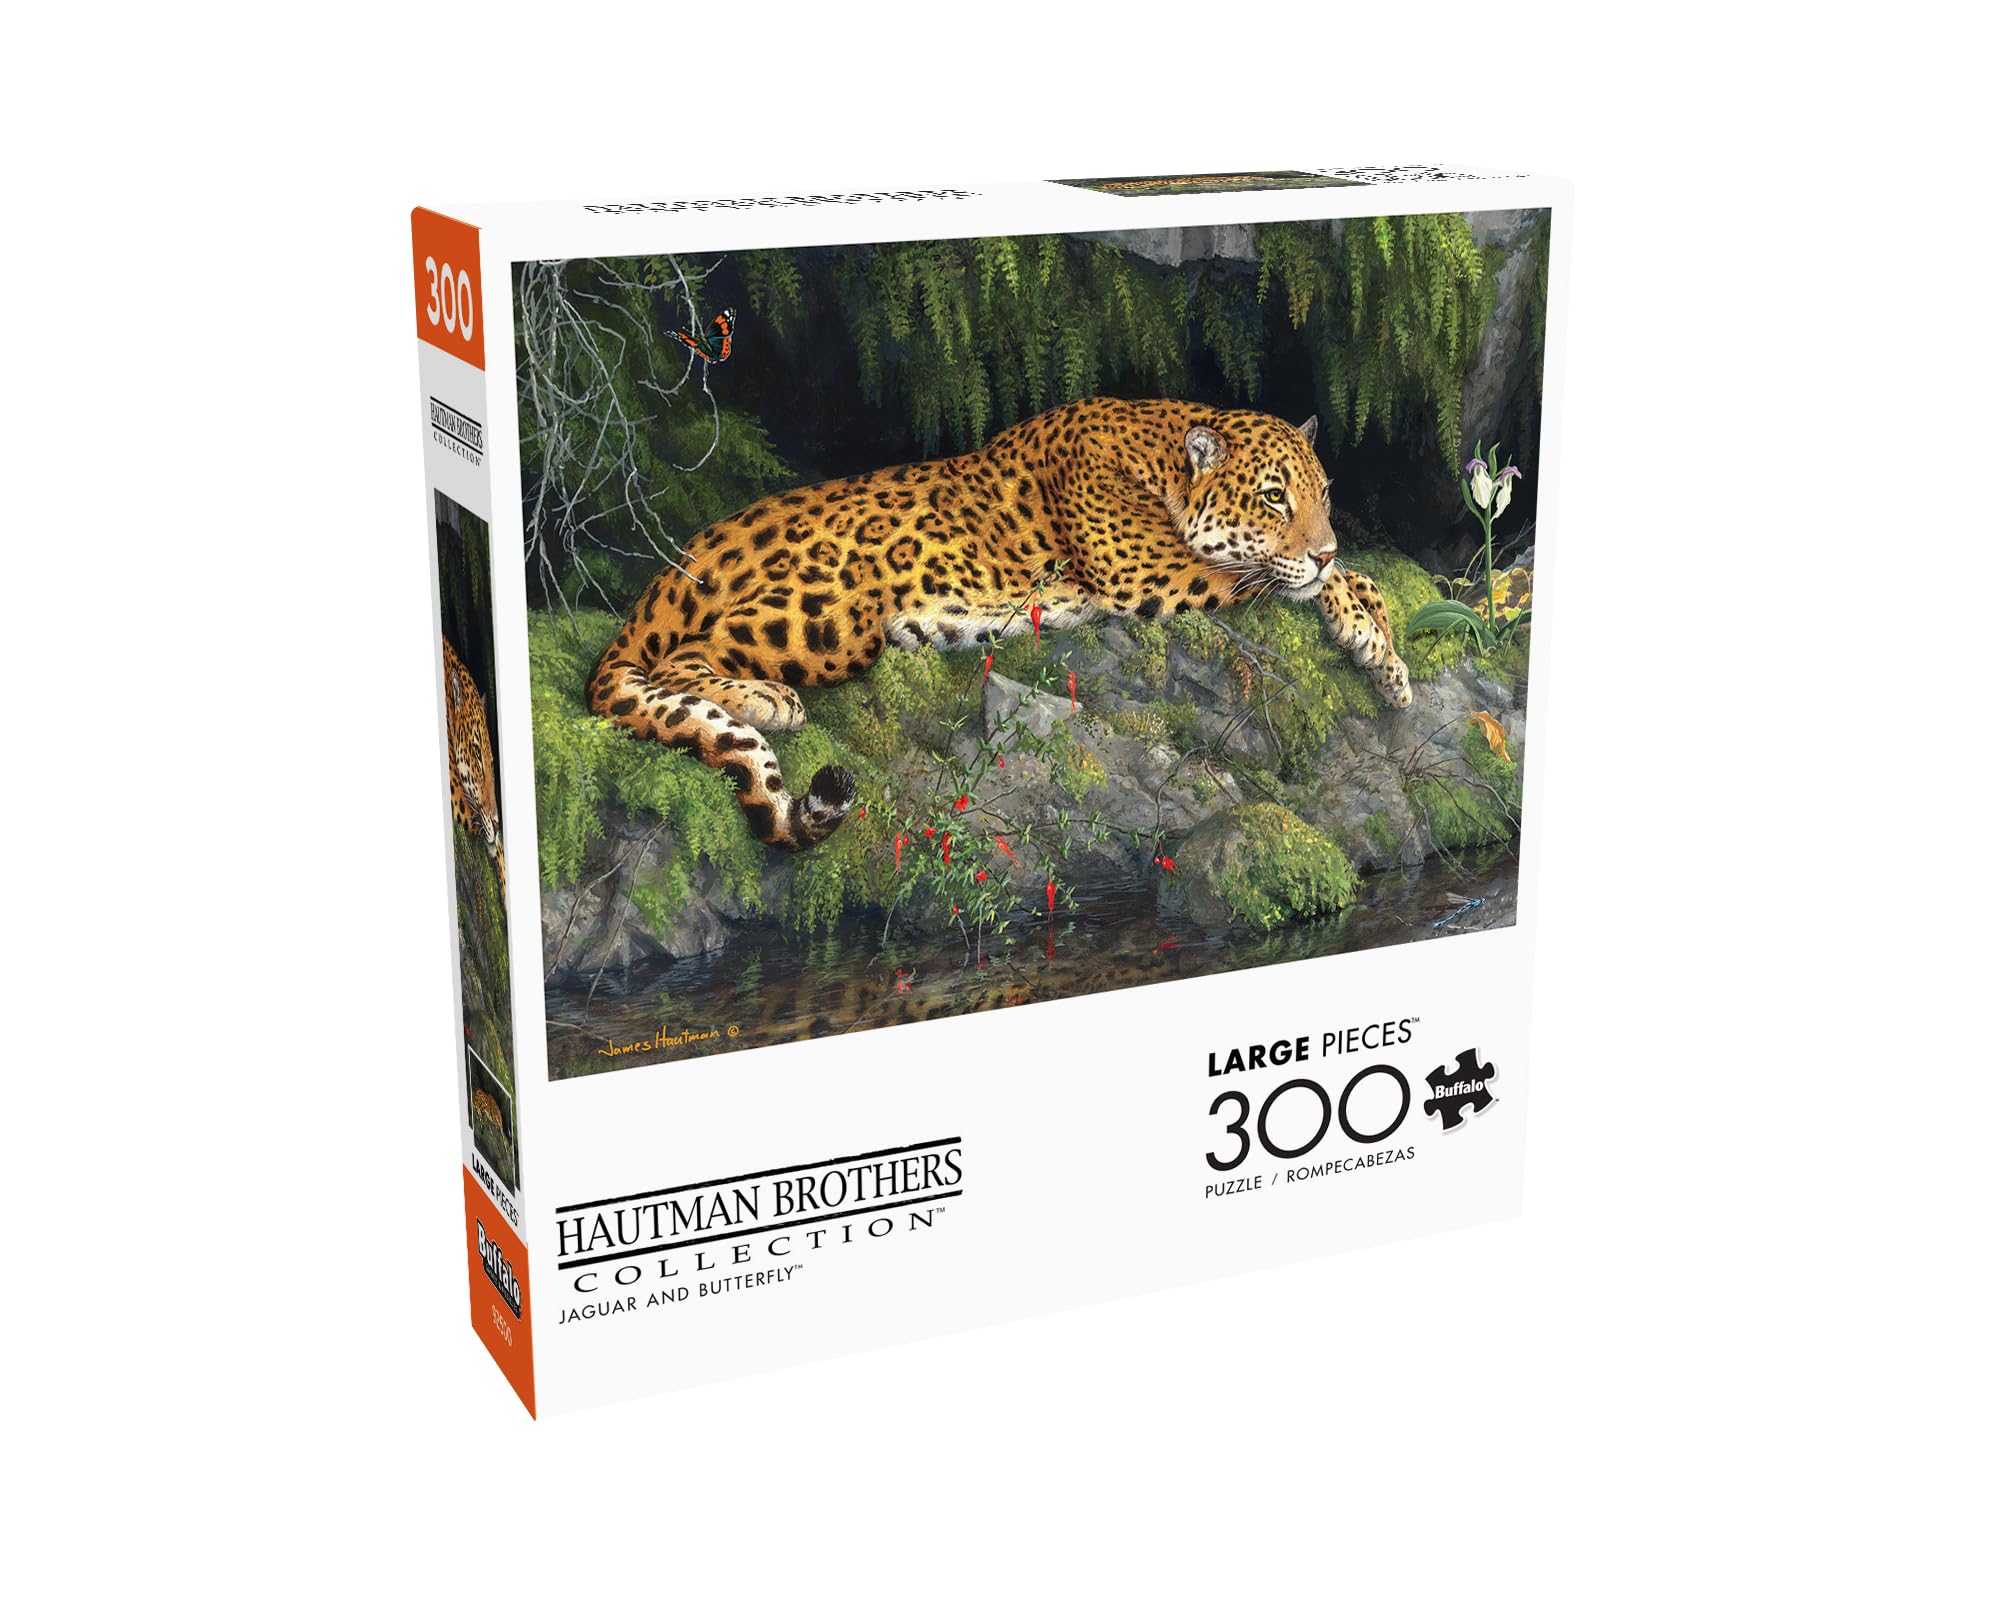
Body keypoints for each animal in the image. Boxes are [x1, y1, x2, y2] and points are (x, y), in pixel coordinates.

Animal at [590, 396, 1412, 849]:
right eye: (1274, 497)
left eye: (1324, 493)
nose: (1325, 542)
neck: (1161, 453)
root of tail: (679, 562)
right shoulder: (1152, 572)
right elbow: (1280, 578)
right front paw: (1361, 619)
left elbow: (1335, 580)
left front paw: (1386, 653)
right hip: (834, 612)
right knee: (681, 658)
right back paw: (765, 698)